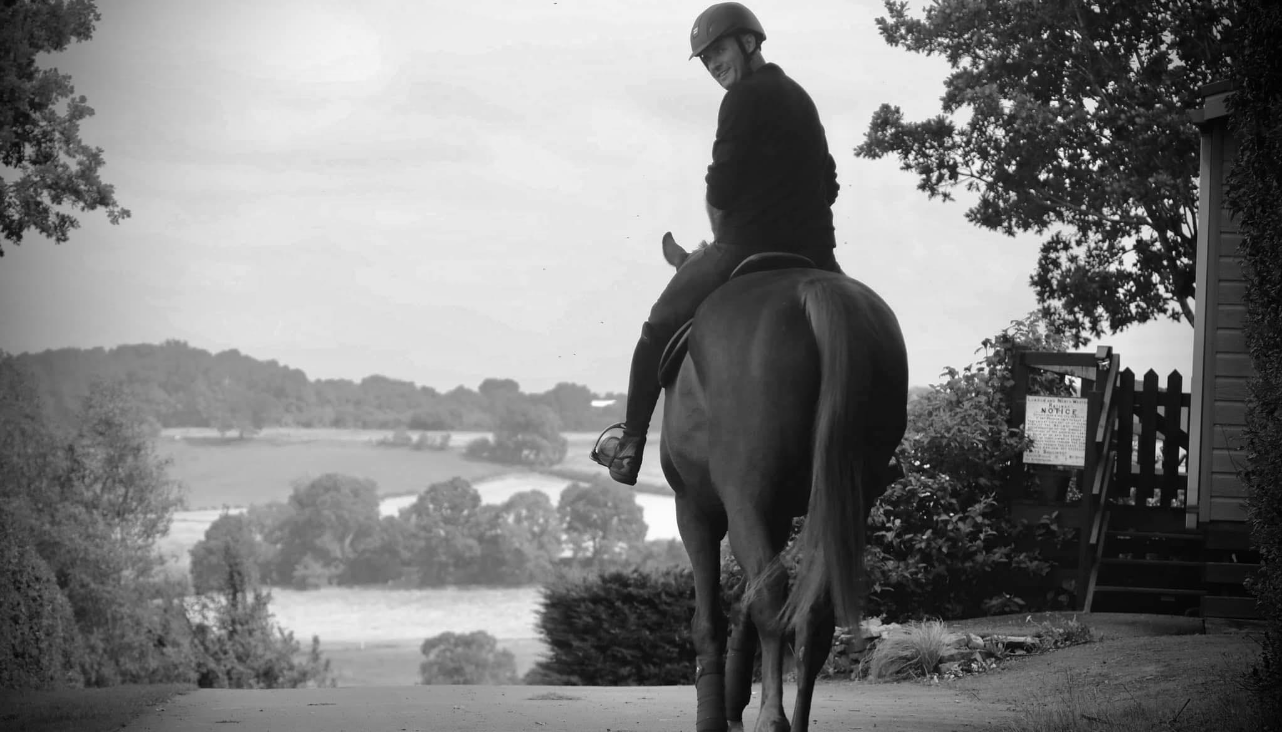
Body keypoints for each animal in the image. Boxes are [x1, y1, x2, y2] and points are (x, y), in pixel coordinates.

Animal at [661, 230, 912, 732]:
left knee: (772, 594)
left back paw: (772, 717)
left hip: (743, 500)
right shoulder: (775, 516)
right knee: (814, 610)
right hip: (841, 501)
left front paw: (715, 710)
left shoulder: (693, 509)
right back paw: (791, 720)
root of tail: (814, 291)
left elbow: (711, 616)